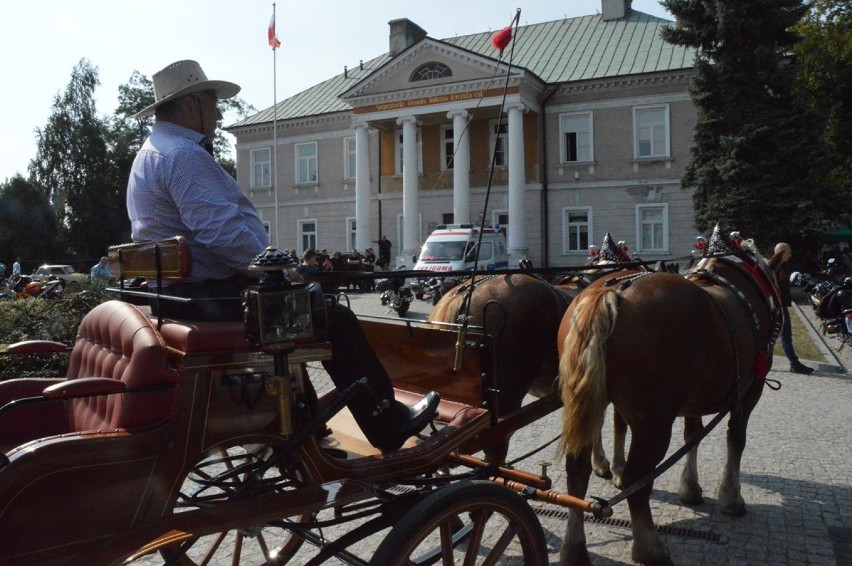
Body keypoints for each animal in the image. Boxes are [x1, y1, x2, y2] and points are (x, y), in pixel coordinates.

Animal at [556, 231, 784, 566]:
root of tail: (614, 292)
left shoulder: (693, 399)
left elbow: (693, 435)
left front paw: (690, 489)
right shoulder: (748, 392)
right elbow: (736, 440)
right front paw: (731, 497)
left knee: (577, 471)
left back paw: (574, 547)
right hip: (654, 423)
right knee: (637, 479)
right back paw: (649, 547)